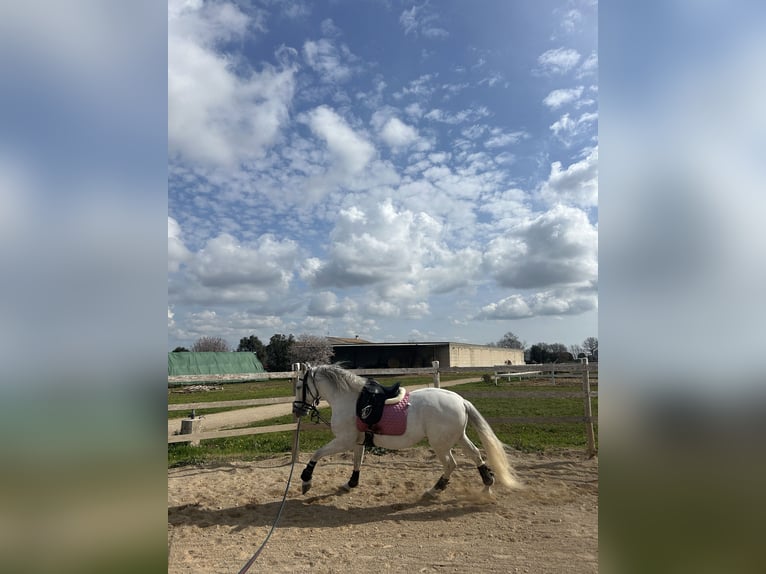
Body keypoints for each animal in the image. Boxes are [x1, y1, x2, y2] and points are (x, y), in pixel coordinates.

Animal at [292, 364, 522, 497]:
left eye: (298, 386)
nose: (296, 410)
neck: (350, 400)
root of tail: (460, 400)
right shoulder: (358, 440)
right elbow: (357, 461)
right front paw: (350, 484)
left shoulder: (343, 440)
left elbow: (317, 454)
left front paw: (306, 480)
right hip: (458, 437)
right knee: (475, 455)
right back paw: (487, 484)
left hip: (441, 444)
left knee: (451, 464)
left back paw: (435, 489)